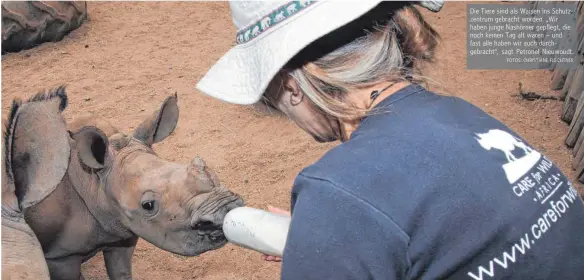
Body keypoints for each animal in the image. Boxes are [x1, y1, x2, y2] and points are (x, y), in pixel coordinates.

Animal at [4, 87, 242, 280]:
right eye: (148, 206)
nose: (226, 208)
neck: (95, 181)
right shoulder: (59, 257)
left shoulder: (122, 231)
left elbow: (121, 272)